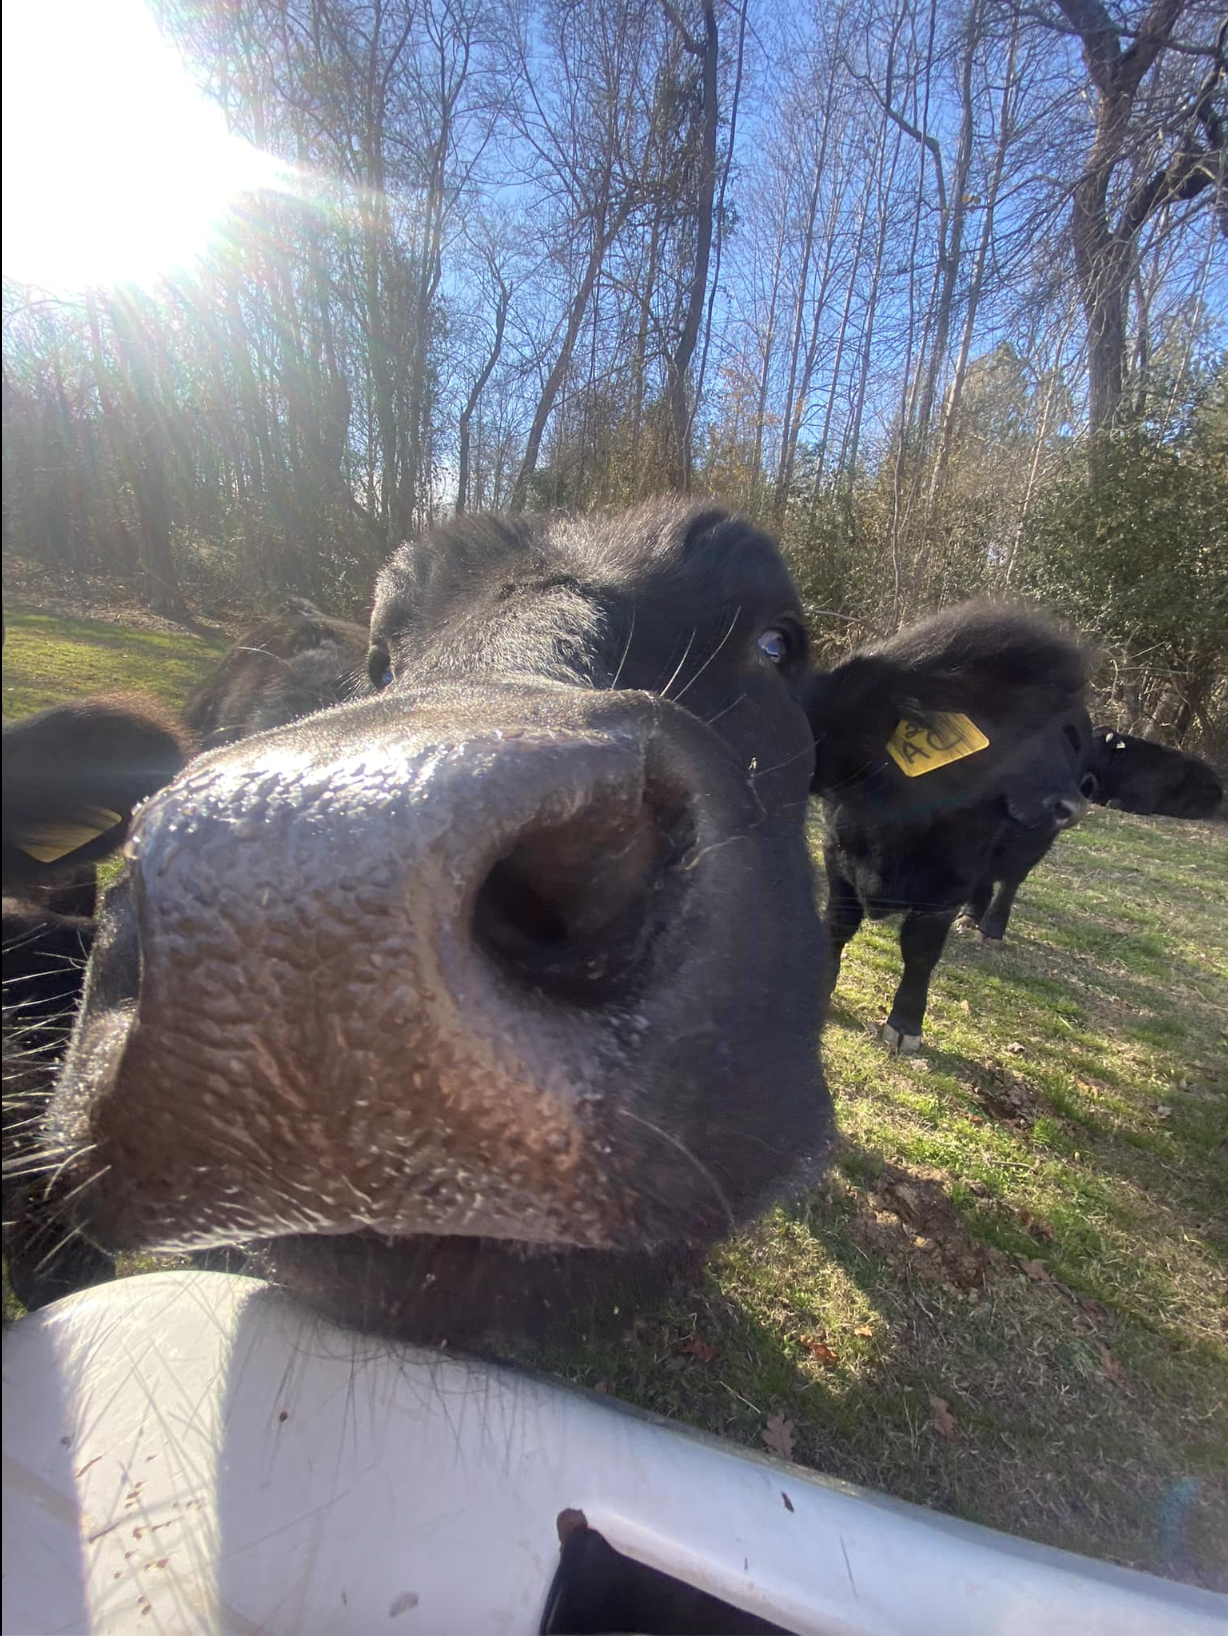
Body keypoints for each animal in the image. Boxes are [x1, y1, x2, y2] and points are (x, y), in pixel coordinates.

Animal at [809, 603, 1090, 1052]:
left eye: (1067, 736)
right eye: (1012, 724)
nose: (1072, 806)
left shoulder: (945, 888)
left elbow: (920, 951)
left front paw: (905, 1026)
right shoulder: (837, 853)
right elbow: (839, 925)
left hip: (1032, 846)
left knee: (1010, 882)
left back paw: (990, 928)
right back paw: (972, 918)